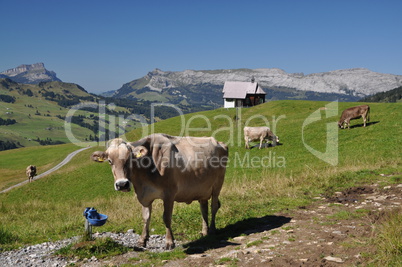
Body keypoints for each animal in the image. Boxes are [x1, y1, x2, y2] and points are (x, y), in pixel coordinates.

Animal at [92, 135, 229, 250]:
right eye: (110, 161)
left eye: (130, 158)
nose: (122, 184)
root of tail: (219, 142)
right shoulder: (144, 196)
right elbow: (146, 217)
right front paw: (142, 240)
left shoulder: (169, 194)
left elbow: (166, 218)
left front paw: (169, 242)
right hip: (202, 188)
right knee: (203, 208)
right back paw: (205, 231)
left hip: (218, 183)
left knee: (214, 206)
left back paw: (212, 230)